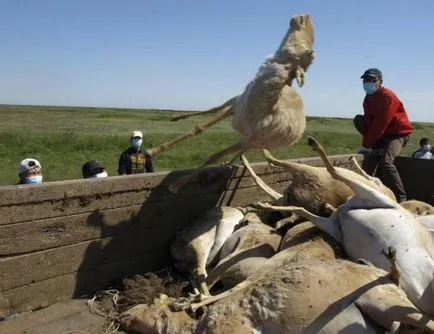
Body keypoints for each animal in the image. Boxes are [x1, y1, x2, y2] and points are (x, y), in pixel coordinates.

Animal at [146, 14, 316, 193]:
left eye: (308, 52)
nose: (304, 16)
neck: (260, 107)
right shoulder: (235, 107)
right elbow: (198, 128)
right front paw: (152, 151)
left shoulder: (248, 139)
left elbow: (214, 156)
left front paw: (176, 185)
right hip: (235, 102)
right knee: (216, 107)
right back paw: (175, 117)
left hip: (252, 141)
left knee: (239, 150)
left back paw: (228, 162)